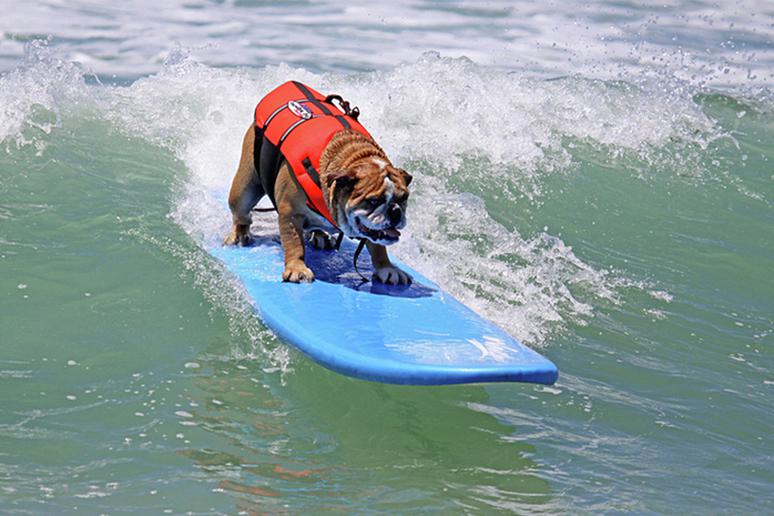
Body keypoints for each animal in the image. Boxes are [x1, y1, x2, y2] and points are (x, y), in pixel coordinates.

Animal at [224, 85, 412, 286]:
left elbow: (378, 246)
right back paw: (239, 235)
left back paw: (320, 234)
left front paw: (387, 268)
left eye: (404, 198)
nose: (395, 211)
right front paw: (297, 268)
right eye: (374, 200)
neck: (355, 157)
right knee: (242, 213)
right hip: (244, 189)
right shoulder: (290, 213)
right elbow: (294, 243)